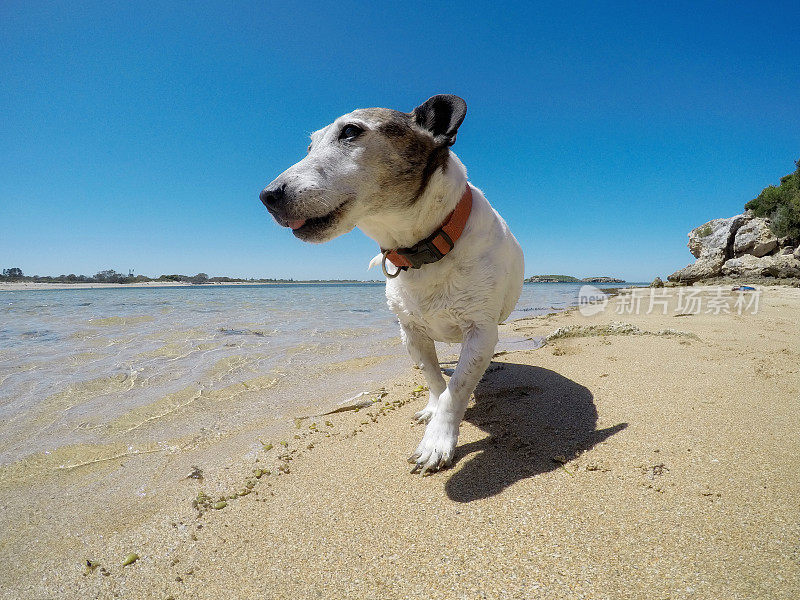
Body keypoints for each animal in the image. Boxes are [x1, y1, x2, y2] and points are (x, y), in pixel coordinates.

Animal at [260, 95, 524, 474]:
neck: (423, 249)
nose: (268, 196)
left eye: (350, 131)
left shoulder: (480, 332)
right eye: (310, 146)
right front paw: (432, 408)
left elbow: (457, 387)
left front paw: (437, 442)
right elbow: (434, 379)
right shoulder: (411, 332)